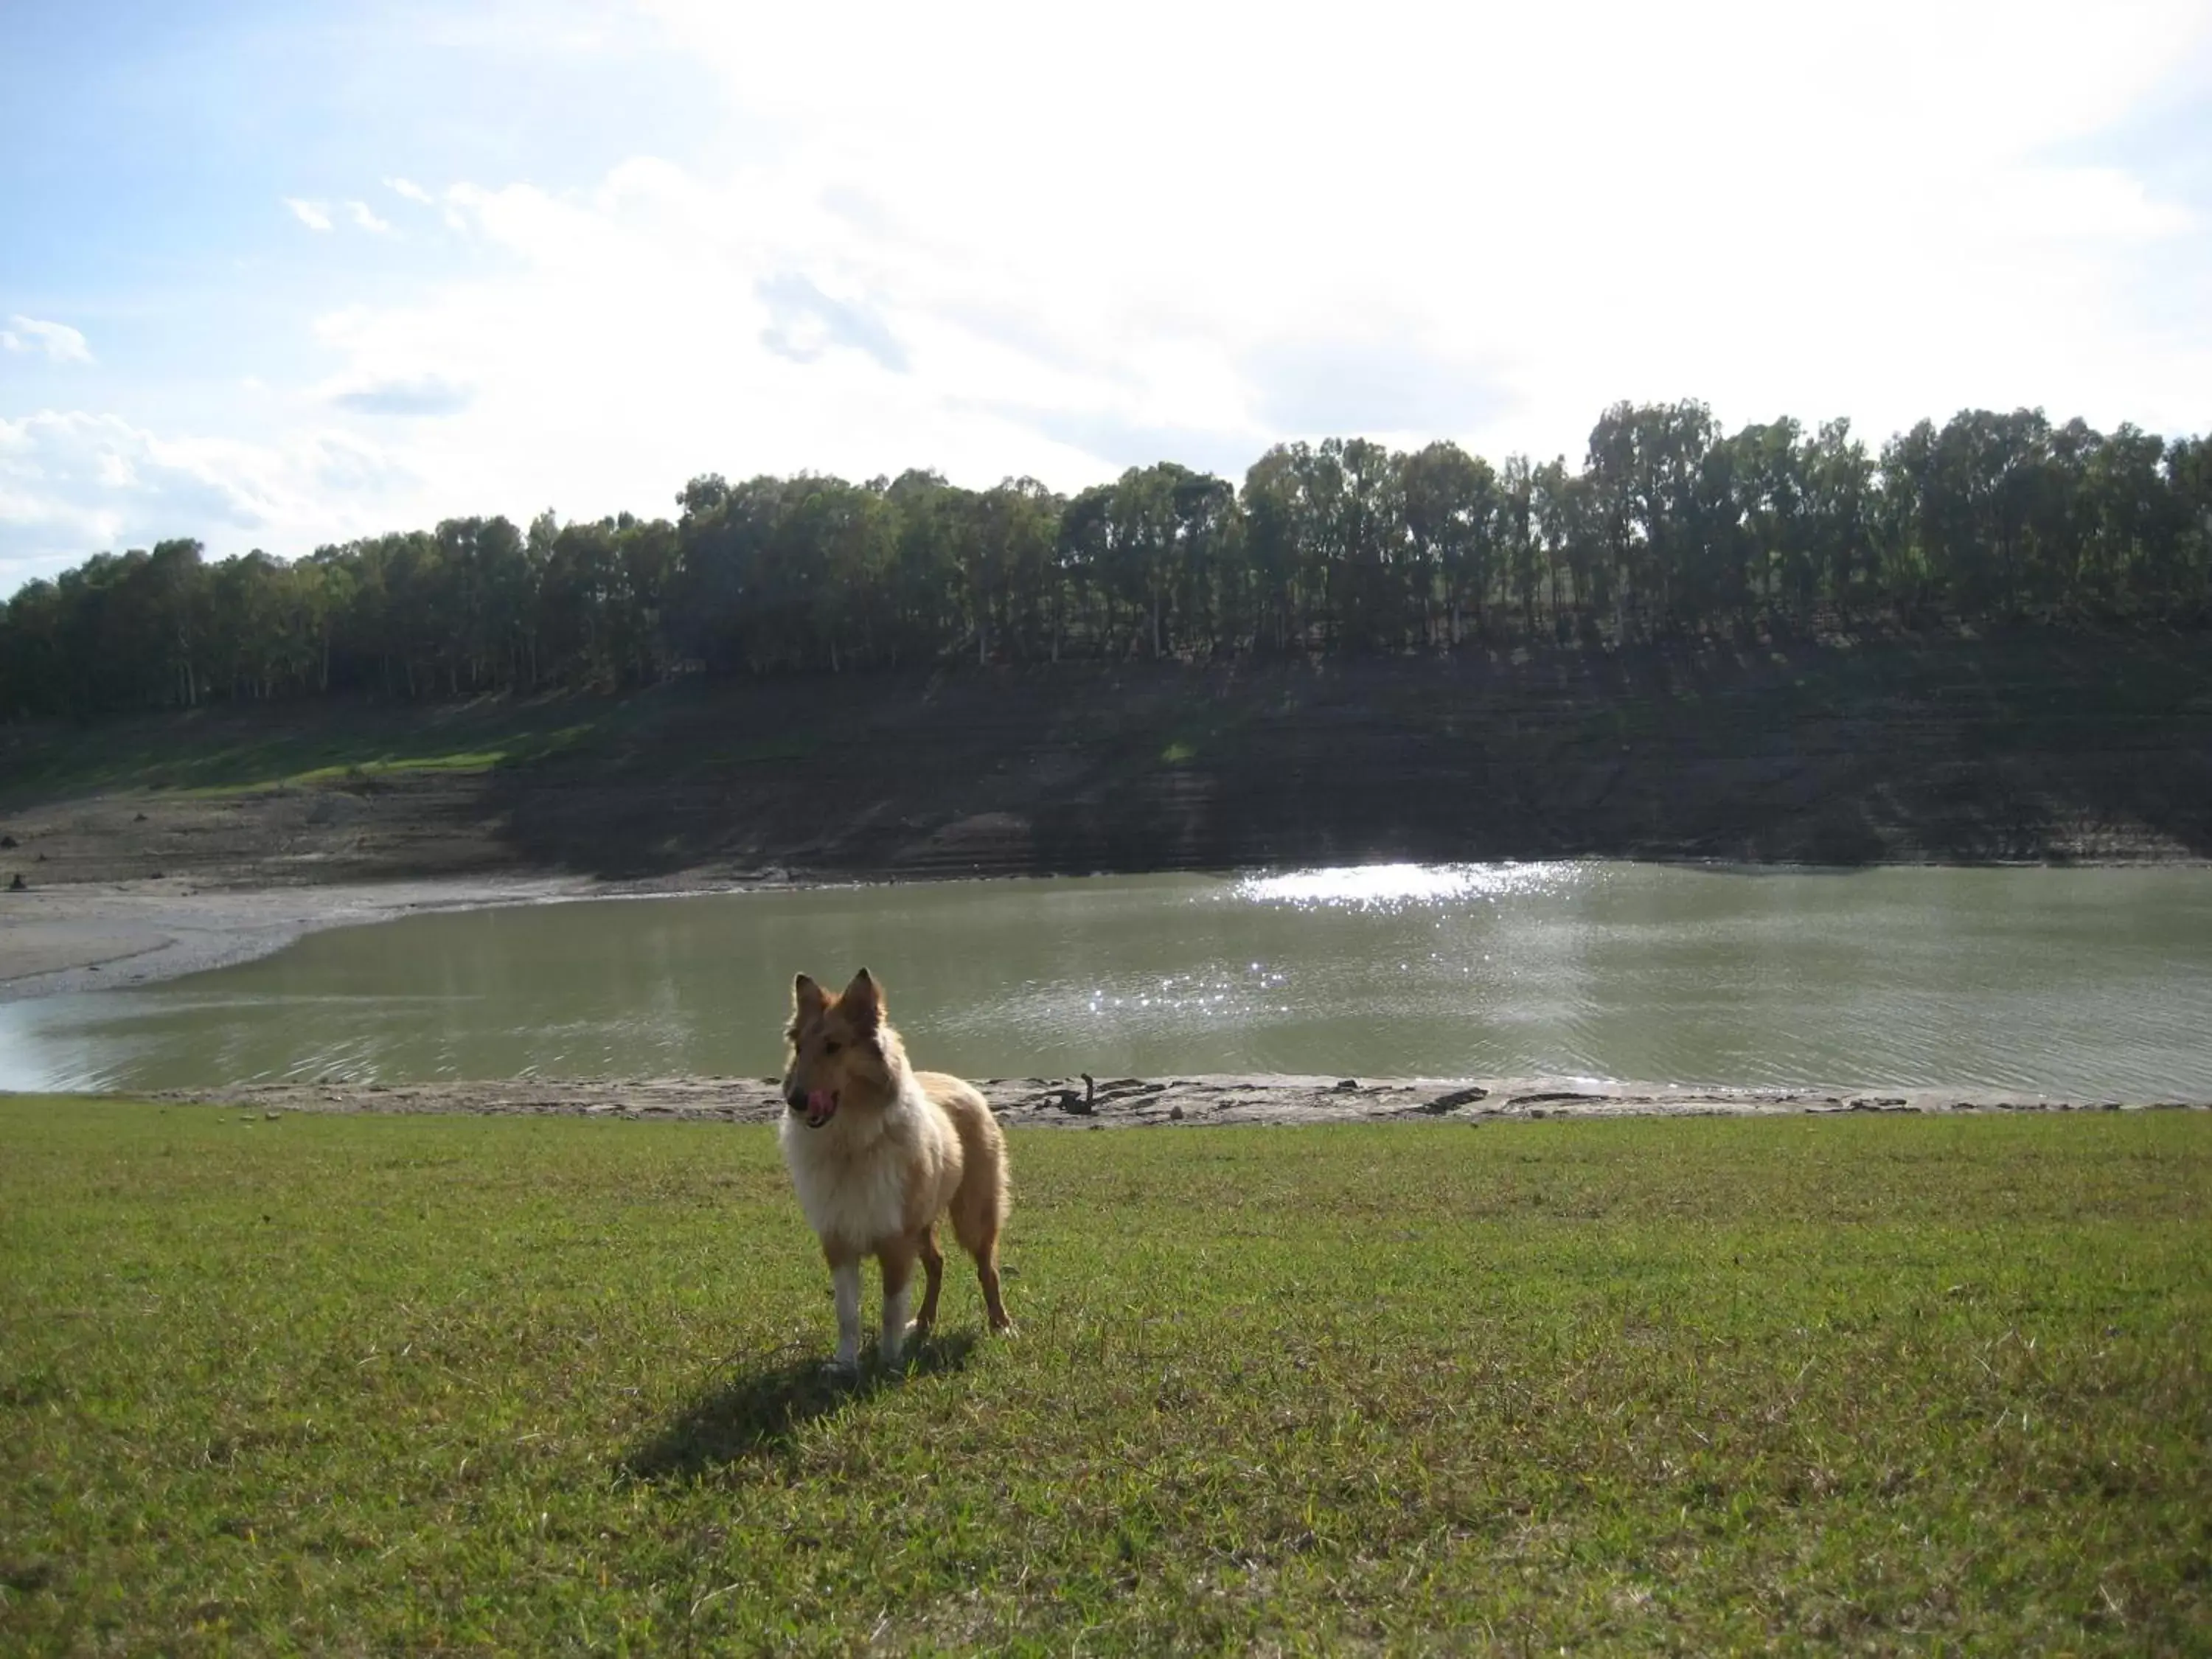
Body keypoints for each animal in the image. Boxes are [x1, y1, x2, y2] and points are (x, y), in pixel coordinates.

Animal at [783, 969, 1013, 1371]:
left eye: (833, 1047)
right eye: (799, 1049)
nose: (795, 1101)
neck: (851, 1143)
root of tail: (958, 1080)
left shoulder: (895, 1242)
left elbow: (890, 1309)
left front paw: (889, 1362)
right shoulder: (838, 1241)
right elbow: (847, 1313)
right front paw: (845, 1363)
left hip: (972, 1216)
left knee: (988, 1269)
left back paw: (1000, 1324)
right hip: (923, 1223)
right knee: (938, 1264)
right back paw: (923, 1322)